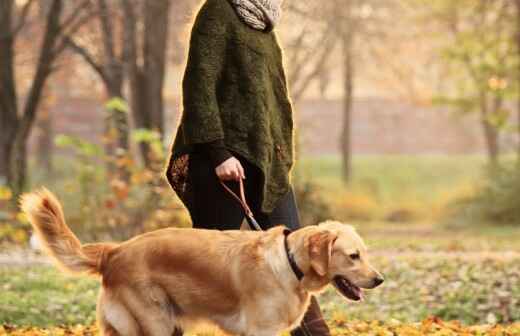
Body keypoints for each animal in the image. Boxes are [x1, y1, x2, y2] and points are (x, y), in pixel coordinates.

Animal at [20, 189, 382, 336]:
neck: (290, 263)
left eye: (365, 253)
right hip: (154, 322)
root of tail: (115, 251)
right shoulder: (260, 329)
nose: (379, 280)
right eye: (353, 256)